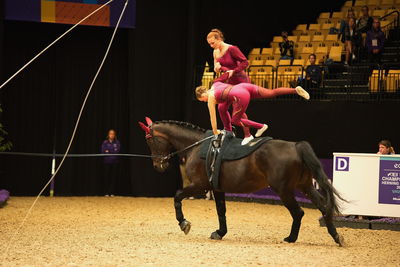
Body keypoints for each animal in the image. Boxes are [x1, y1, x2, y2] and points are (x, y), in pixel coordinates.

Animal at [138, 118, 344, 248]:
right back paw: (336, 236)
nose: (158, 165)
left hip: (284, 190)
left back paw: (291, 238)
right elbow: (221, 211)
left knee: (298, 212)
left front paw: (184, 223)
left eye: (150, 141)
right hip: (306, 186)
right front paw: (220, 232)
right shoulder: (217, 188)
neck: (196, 146)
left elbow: (177, 196)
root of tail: (295, 146)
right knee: (324, 208)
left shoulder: (199, 185)